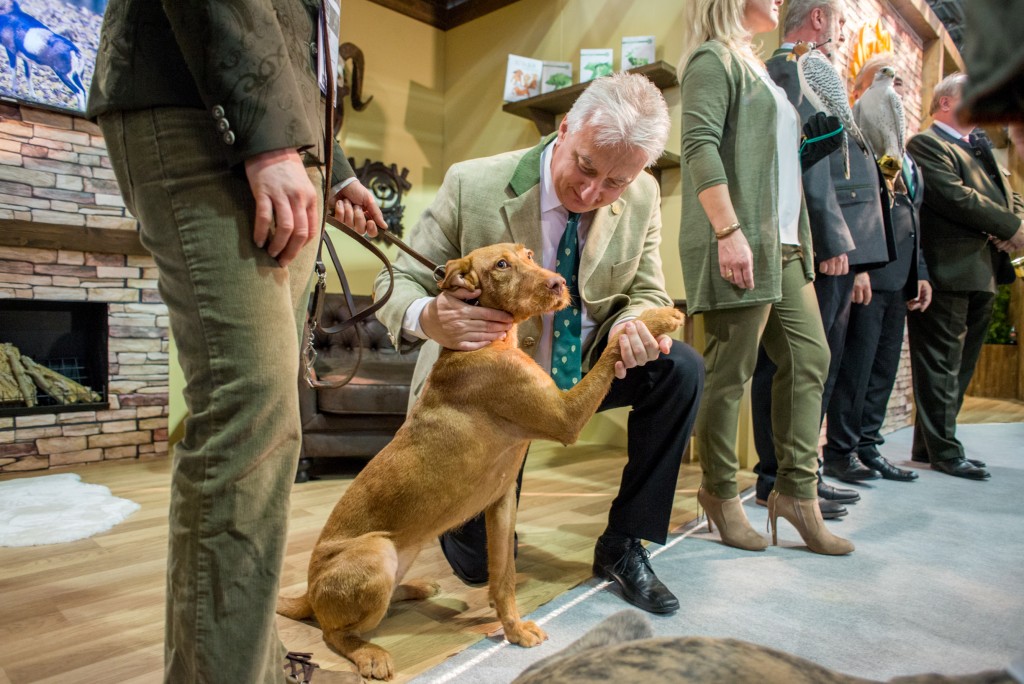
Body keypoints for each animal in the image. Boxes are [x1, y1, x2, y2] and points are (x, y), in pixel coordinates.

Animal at [276, 240, 684, 679]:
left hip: (404, 551)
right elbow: (610, 350)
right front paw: (658, 318)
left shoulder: (502, 502)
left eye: (527, 254)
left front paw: (513, 628)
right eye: (502, 265)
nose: (559, 283)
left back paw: (417, 587)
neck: (486, 343)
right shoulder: (565, 417)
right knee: (332, 632)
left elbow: (503, 578)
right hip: (376, 554)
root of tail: (309, 593)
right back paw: (369, 653)